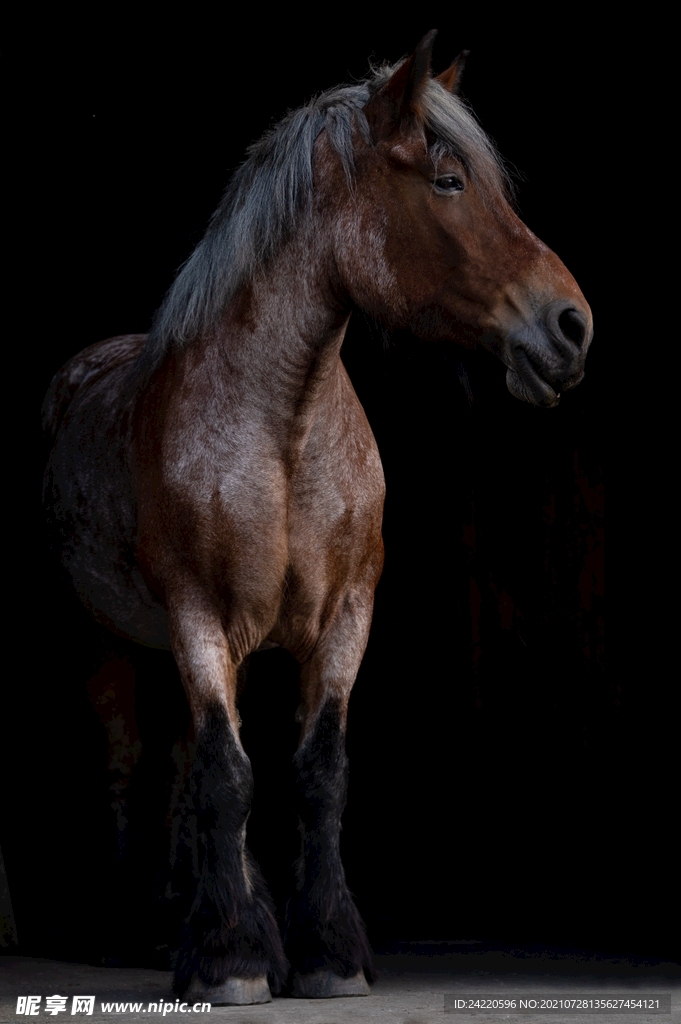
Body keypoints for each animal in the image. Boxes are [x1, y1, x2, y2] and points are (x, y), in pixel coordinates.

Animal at [42, 32, 593, 1006]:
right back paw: (136, 932)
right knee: (127, 761)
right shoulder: (199, 622)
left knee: (178, 766)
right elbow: (230, 777)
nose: (571, 327)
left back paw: (184, 919)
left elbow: (315, 775)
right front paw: (231, 960)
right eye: (449, 181)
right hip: (103, 637)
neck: (283, 431)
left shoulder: (343, 620)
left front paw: (323, 952)